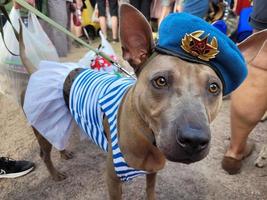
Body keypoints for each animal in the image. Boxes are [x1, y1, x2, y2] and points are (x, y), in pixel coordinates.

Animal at [19, 3, 248, 200]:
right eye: (160, 81)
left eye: (214, 88)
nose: (194, 140)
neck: (147, 134)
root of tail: (38, 70)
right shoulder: (113, 180)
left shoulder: (153, 170)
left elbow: (150, 190)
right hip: (41, 125)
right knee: (44, 153)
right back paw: (55, 173)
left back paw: (63, 152)